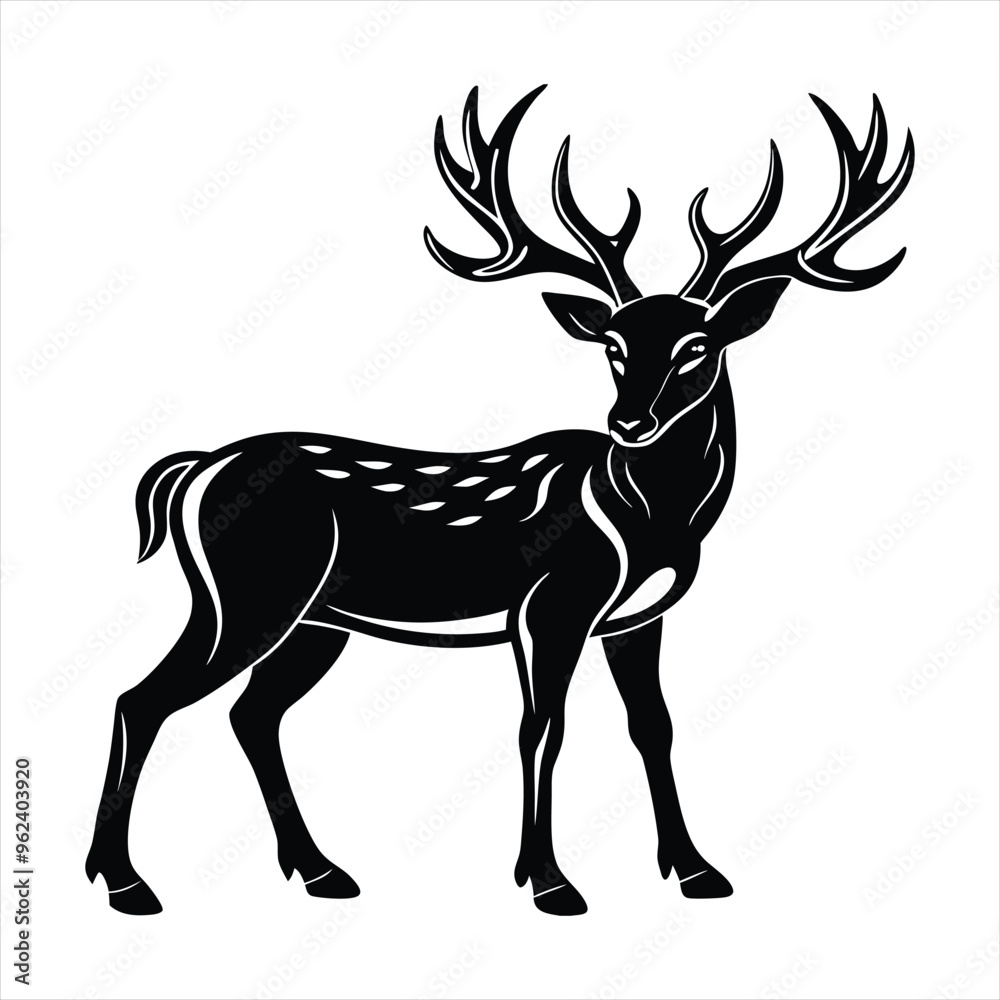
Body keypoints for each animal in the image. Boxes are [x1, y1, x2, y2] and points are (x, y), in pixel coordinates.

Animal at [85, 85, 913, 916]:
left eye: (696, 347)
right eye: (613, 346)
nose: (629, 421)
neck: (646, 518)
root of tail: (193, 470)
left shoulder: (636, 618)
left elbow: (653, 726)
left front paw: (696, 870)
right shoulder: (553, 601)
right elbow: (541, 728)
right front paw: (549, 881)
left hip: (315, 619)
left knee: (250, 713)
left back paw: (321, 871)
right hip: (248, 594)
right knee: (143, 698)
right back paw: (124, 881)